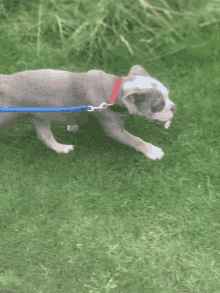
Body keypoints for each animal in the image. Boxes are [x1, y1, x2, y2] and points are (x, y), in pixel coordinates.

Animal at [0, 65, 175, 160]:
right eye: (158, 105)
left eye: (168, 96)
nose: (173, 107)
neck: (117, 90)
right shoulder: (114, 128)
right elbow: (135, 139)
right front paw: (152, 151)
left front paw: (72, 125)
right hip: (8, 118)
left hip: (39, 115)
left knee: (45, 136)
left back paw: (61, 148)